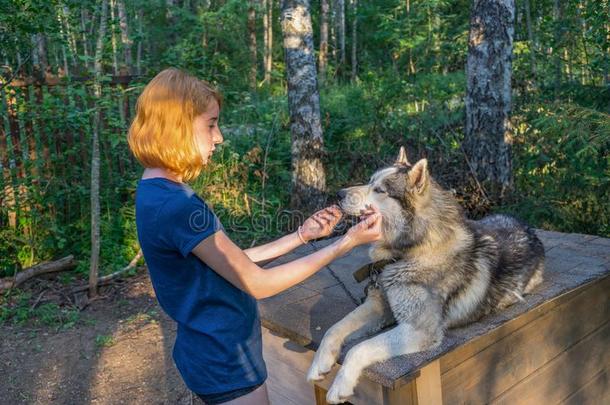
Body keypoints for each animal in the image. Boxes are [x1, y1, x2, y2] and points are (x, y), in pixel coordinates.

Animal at [306, 147, 544, 402]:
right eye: (369, 181)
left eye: (379, 190)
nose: (338, 194)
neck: (410, 253)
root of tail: (527, 227)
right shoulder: (379, 306)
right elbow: (334, 328)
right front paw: (319, 363)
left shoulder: (419, 329)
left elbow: (359, 348)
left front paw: (341, 385)